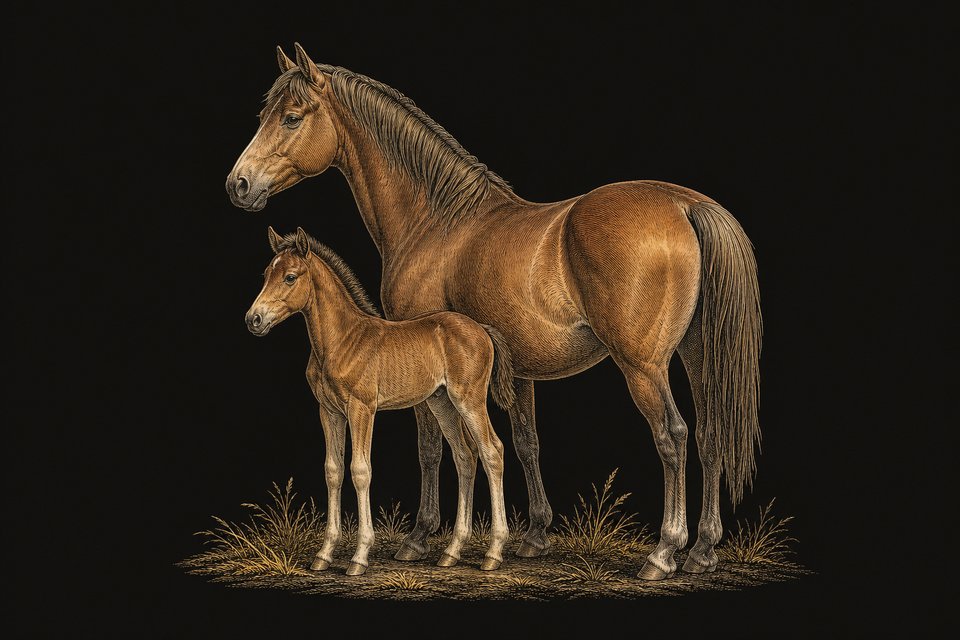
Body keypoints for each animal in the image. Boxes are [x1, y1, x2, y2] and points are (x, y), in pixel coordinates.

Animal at [245, 226, 517, 575]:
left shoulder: (362, 409)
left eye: (290, 277)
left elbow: (360, 471)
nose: (254, 319)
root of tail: (480, 328)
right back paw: (452, 551)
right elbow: (333, 470)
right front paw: (324, 554)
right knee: (465, 457)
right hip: (441, 403)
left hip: (468, 399)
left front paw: (359, 556)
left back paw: (493, 553)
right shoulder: (329, 411)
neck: (340, 340)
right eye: (266, 274)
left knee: (492, 451)